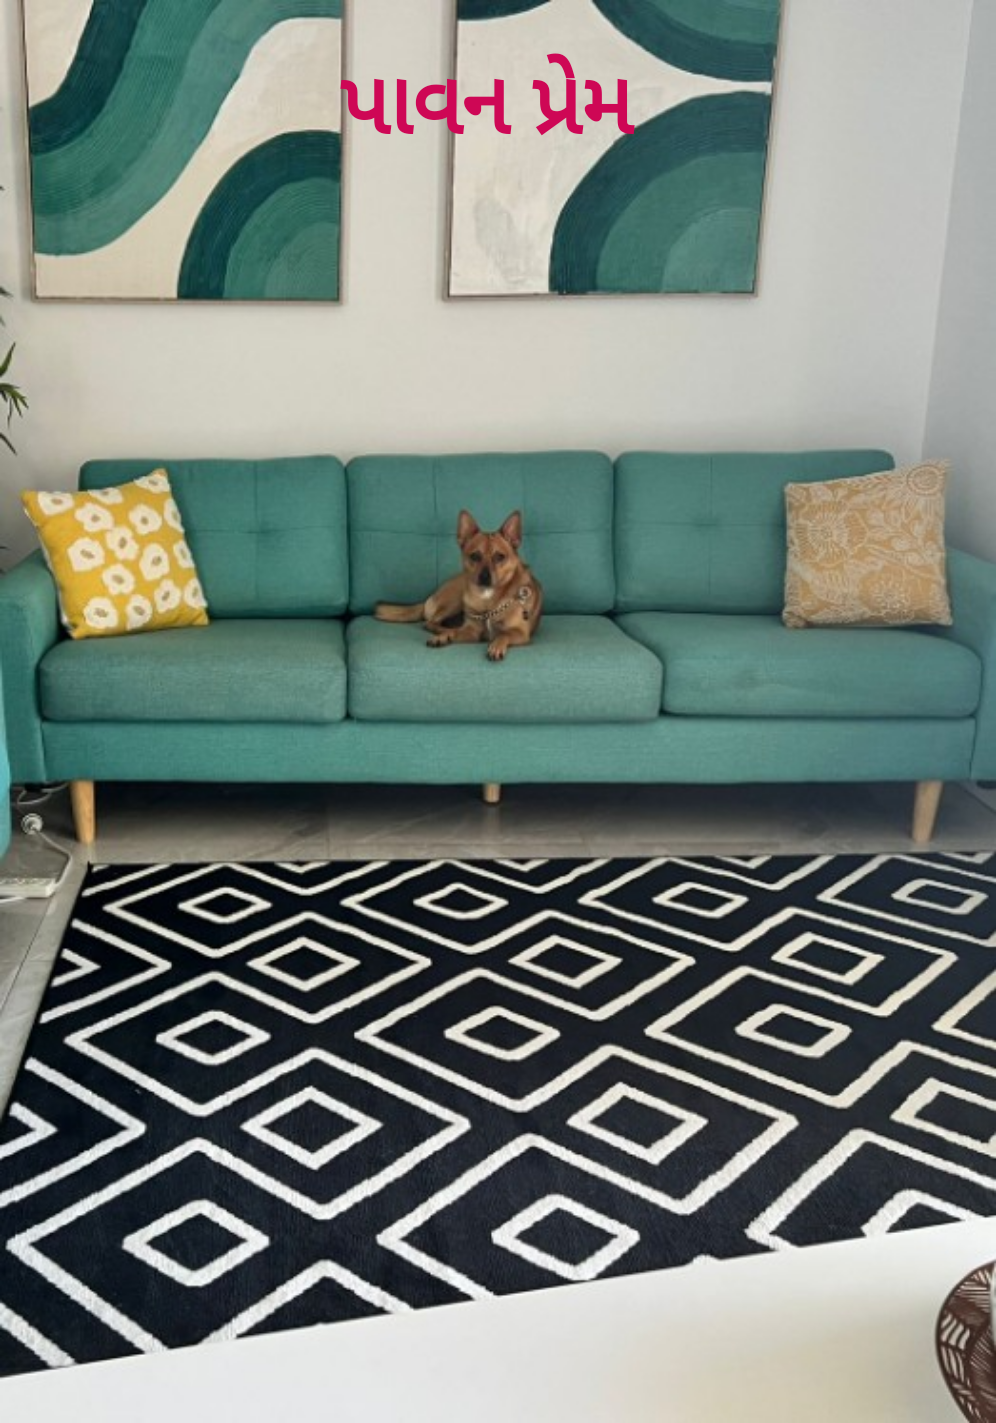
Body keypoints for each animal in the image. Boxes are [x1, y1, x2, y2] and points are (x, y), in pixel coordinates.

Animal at [374, 510, 543, 661]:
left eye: (499, 557)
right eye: (475, 556)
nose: (484, 576)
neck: (488, 601)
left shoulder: (520, 633)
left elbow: (503, 634)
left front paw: (496, 646)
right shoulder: (471, 631)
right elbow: (456, 632)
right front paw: (444, 636)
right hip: (455, 600)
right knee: (430, 623)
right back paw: (445, 629)